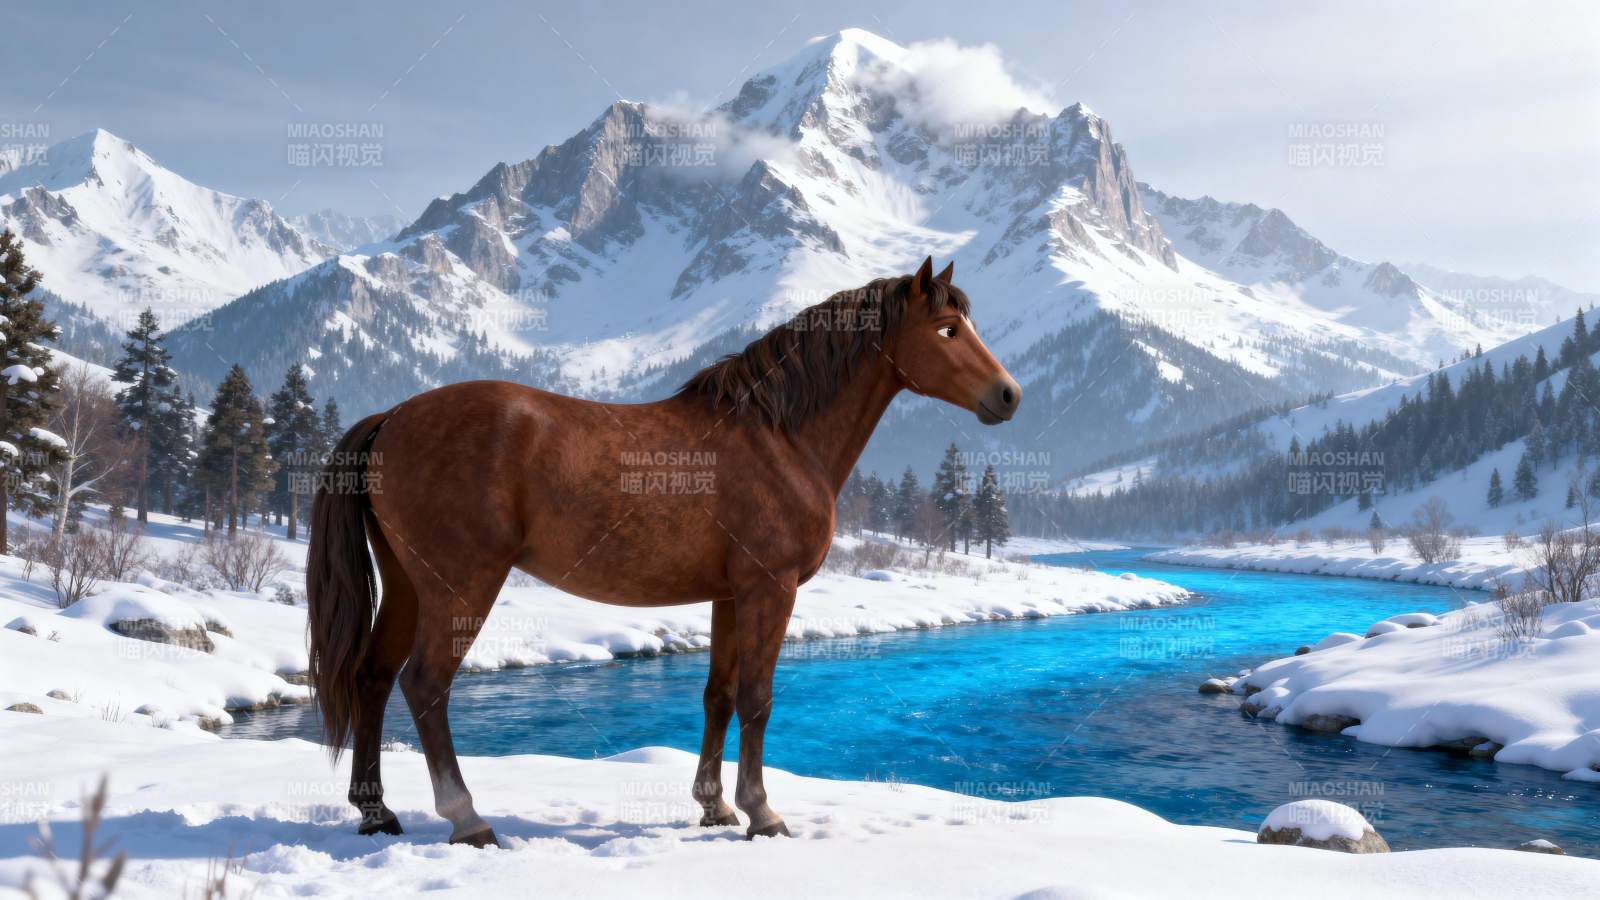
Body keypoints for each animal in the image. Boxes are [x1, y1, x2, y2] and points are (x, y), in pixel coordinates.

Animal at [306, 256, 1022, 847]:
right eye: (947, 330)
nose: (1009, 395)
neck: (779, 437)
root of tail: (391, 419)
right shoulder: (770, 588)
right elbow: (758, 697)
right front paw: (763, 813)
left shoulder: (731, 595)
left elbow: (720, 695)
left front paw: (715, 807)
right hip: (462, 586)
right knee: (425, 684)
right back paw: (468, 820)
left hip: (408, 584)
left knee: (372, 679)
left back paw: (377, 813)